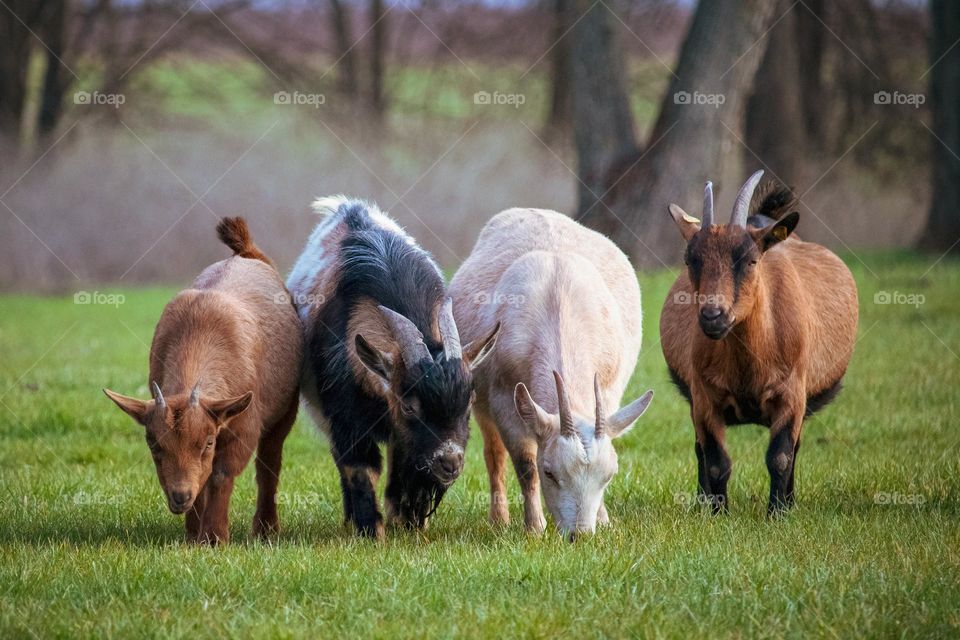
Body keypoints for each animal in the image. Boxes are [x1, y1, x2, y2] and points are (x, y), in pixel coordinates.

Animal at [103, 218, 302, 544]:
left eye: (207, 442)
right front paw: (194, 535)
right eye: (153, 444)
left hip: (285, 410)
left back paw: (266, 529)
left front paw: (215, 537)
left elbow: (221, 474)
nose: (179, 496)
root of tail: (247, 253)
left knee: (269, 463)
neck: (201, 329)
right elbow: (204, 477)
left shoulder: (243, 425)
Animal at [664, 171, 860, 516]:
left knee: (795, 448)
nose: (713, 316)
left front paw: (777, 513)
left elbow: (781, 457)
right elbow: (716, 461)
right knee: (699, 449)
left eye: (751, 260)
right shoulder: (704, 398)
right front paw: (718, 514)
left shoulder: (792, 395)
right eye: (690, 260)